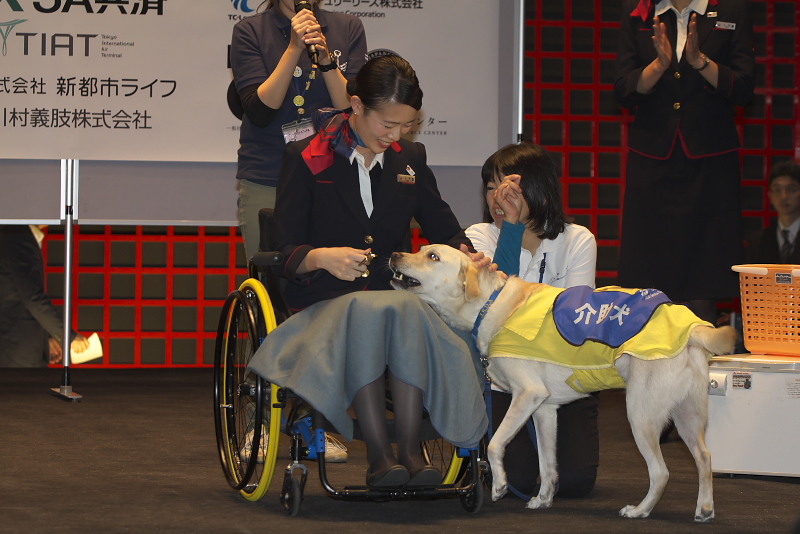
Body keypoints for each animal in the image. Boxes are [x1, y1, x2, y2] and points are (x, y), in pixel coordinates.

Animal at [390, 246, 736, 524]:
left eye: (432, 256)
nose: (394, 254)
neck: (491, 305)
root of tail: (693, 327)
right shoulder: (544, 410)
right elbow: (547, 465)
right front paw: (543, 499)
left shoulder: (527, 395)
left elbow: (495, 442)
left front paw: (500, 484)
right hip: (687, 416)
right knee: (705, 458)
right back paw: (704, 509)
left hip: (640, 415)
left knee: (661, 472)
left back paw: (639, 511)